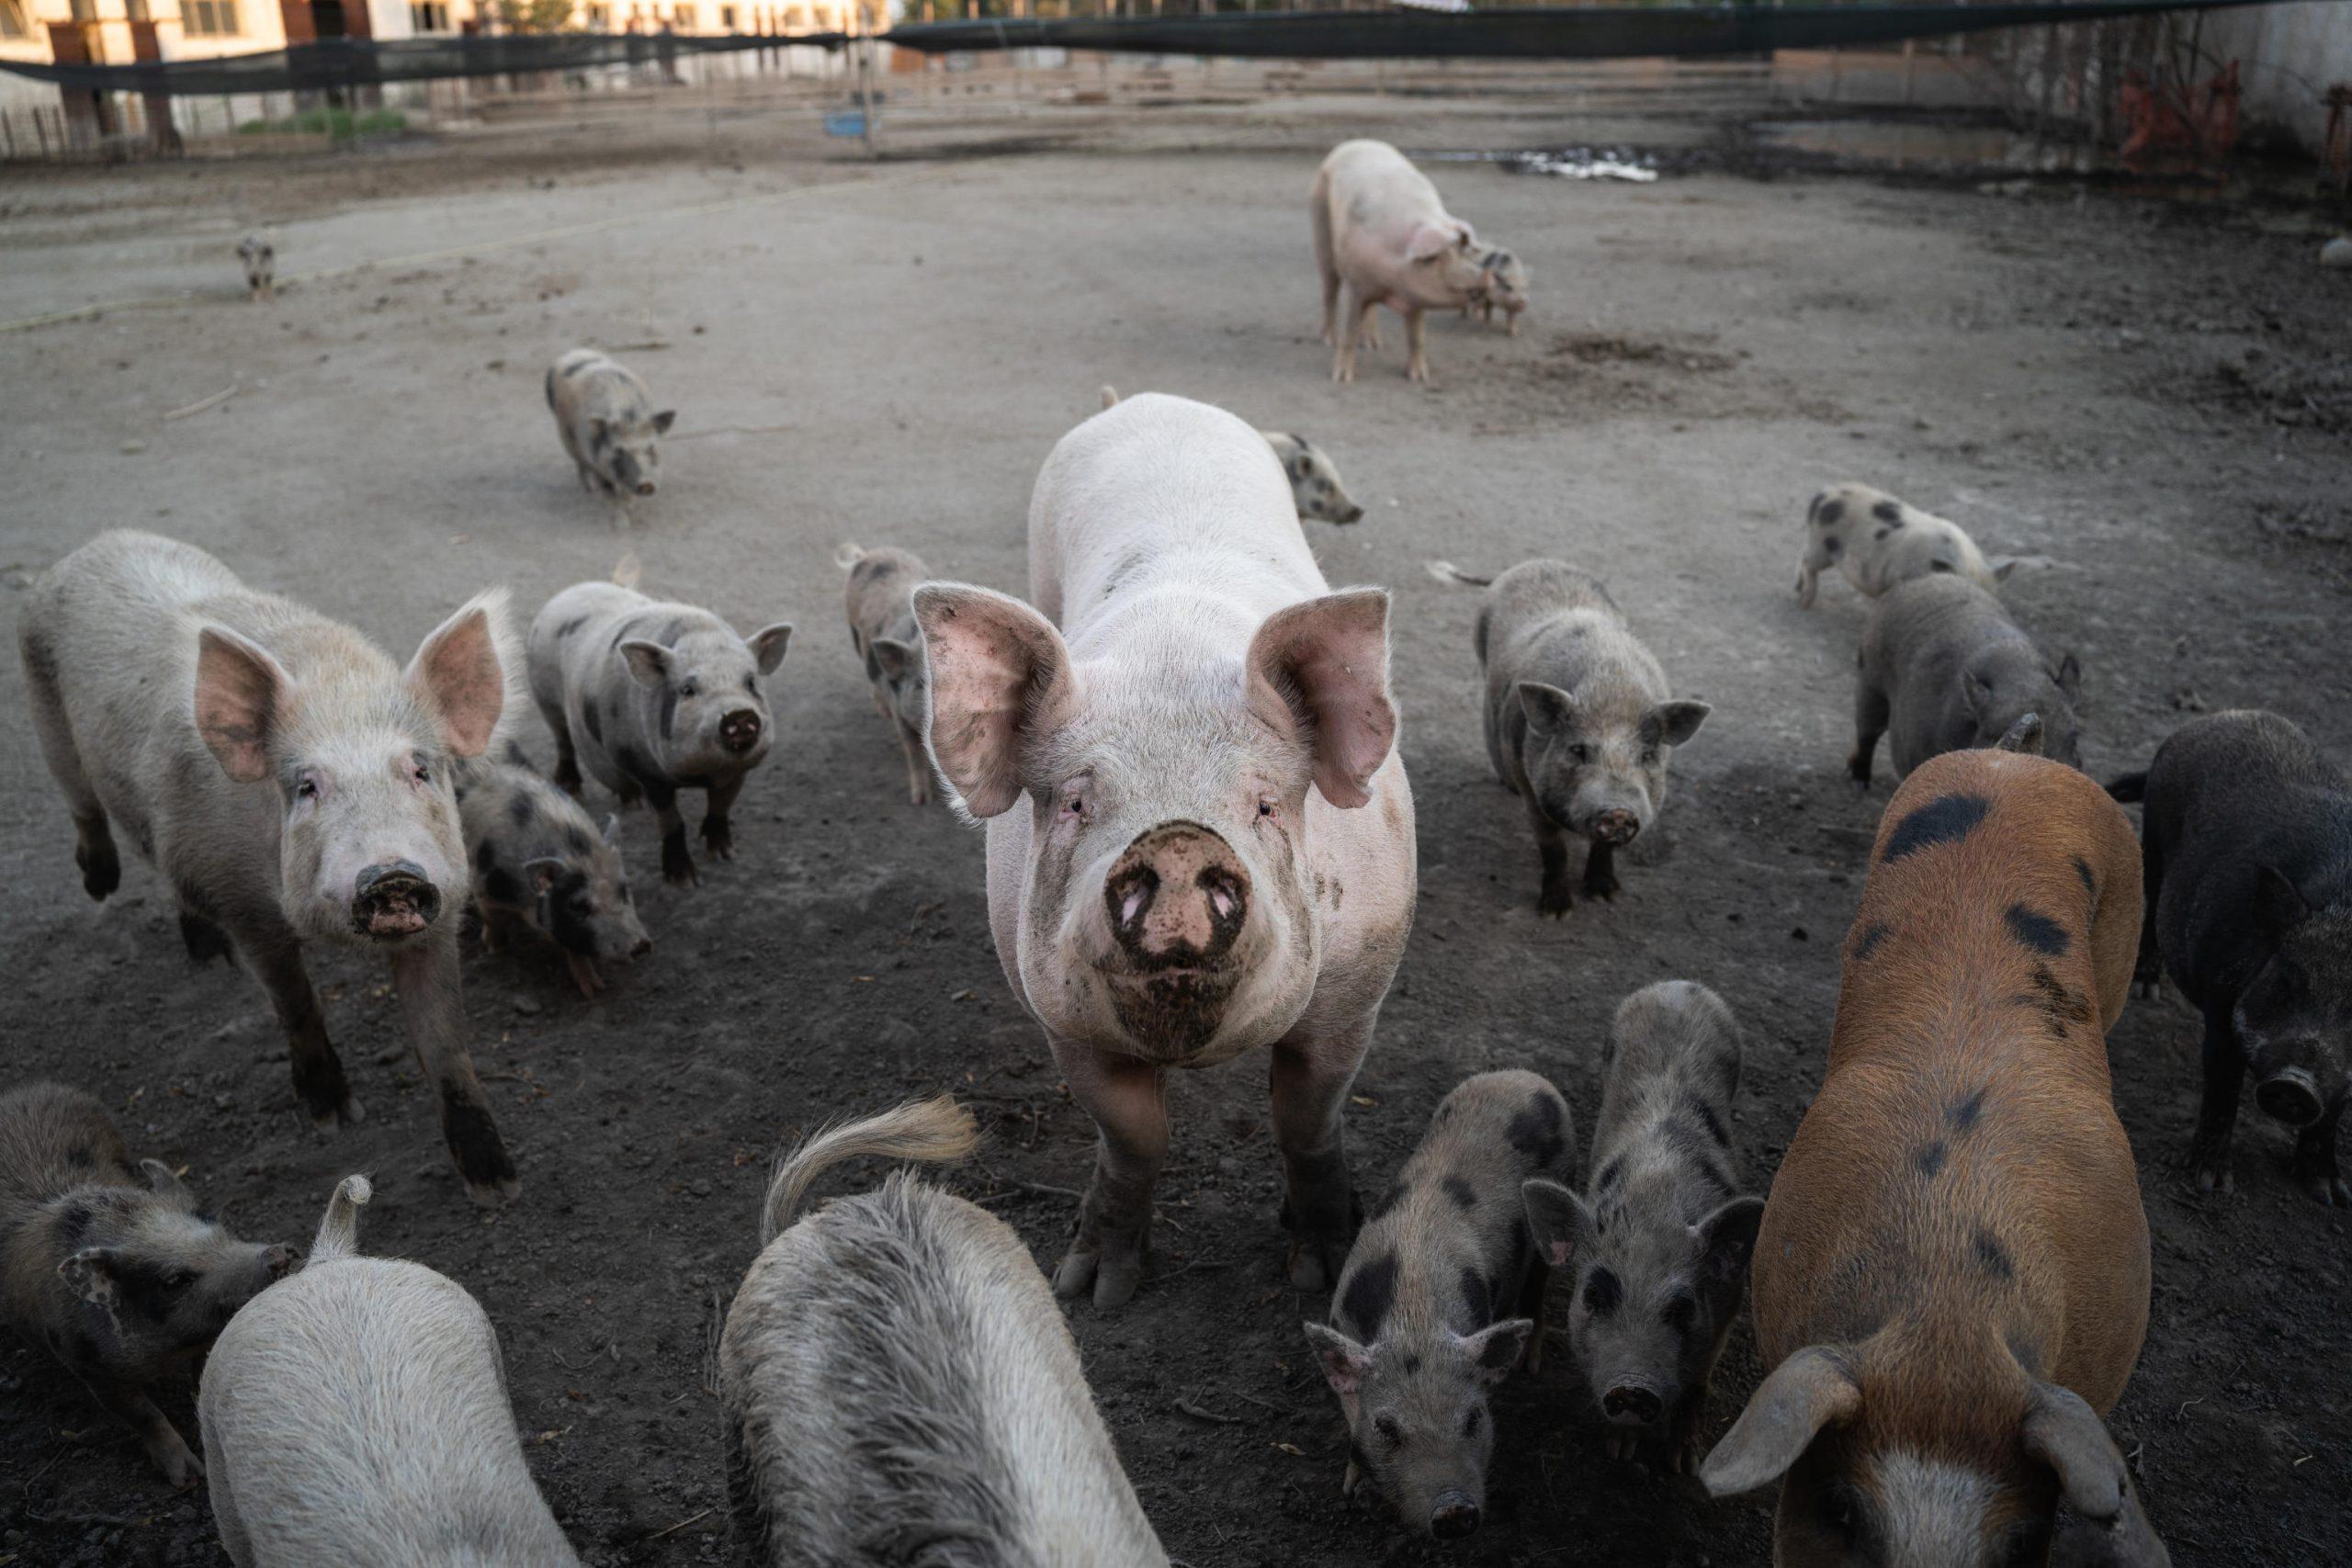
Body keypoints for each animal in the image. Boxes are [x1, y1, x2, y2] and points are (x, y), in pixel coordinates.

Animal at [22, 533, 522, 1213]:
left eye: (421, 770)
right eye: (307, 786)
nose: (391, 873)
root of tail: (91, 546)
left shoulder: (441, 906)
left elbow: (446, 1042)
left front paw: (498, 1185)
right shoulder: (246, 906)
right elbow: (294, 1001)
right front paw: (335, 1118)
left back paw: (206, 955)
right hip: (48, 724)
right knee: (85, 807)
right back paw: (105, 887)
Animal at [912, 392, 1411, 1316]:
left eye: (1265, 804)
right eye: (1076, 802)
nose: (1178, 839)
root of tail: (1151, 401)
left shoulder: (1359, 981)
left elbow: (1308, 1120)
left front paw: (1322, 1272)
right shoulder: (1057, 1012)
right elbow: (1134, 1137)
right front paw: (1096, 1289)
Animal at [1317, 140, 1496, 385]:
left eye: (1461, 251)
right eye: (1433, 258)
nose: (1487, 275)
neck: (1391, 282)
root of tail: (1355, 142)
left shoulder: (1416, 292)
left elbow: (1416, 336)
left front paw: (1419, 378)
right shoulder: (1356, 283)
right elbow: (1350, 330)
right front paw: (1342, 379)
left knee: (1370, 309)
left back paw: (1373, 345)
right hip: (1319, 217)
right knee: (1329, 288)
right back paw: (1327, 340)